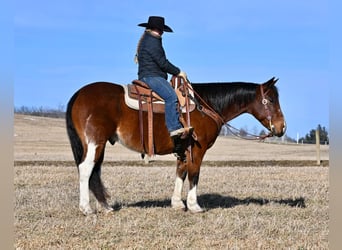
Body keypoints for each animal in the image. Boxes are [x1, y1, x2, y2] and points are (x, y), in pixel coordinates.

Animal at [66, 76, 286, 215]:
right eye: (270, 100)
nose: (282, 127)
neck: (205, 106)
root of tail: (78, 94)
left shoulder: (183, 149)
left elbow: (181, 172)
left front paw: (177, 204)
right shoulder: (197, 149)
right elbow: (194, 174)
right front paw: (194, 206)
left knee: (94, 172)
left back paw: (105, 207)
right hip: (94, 143)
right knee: (86, 169)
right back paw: (86, 208)